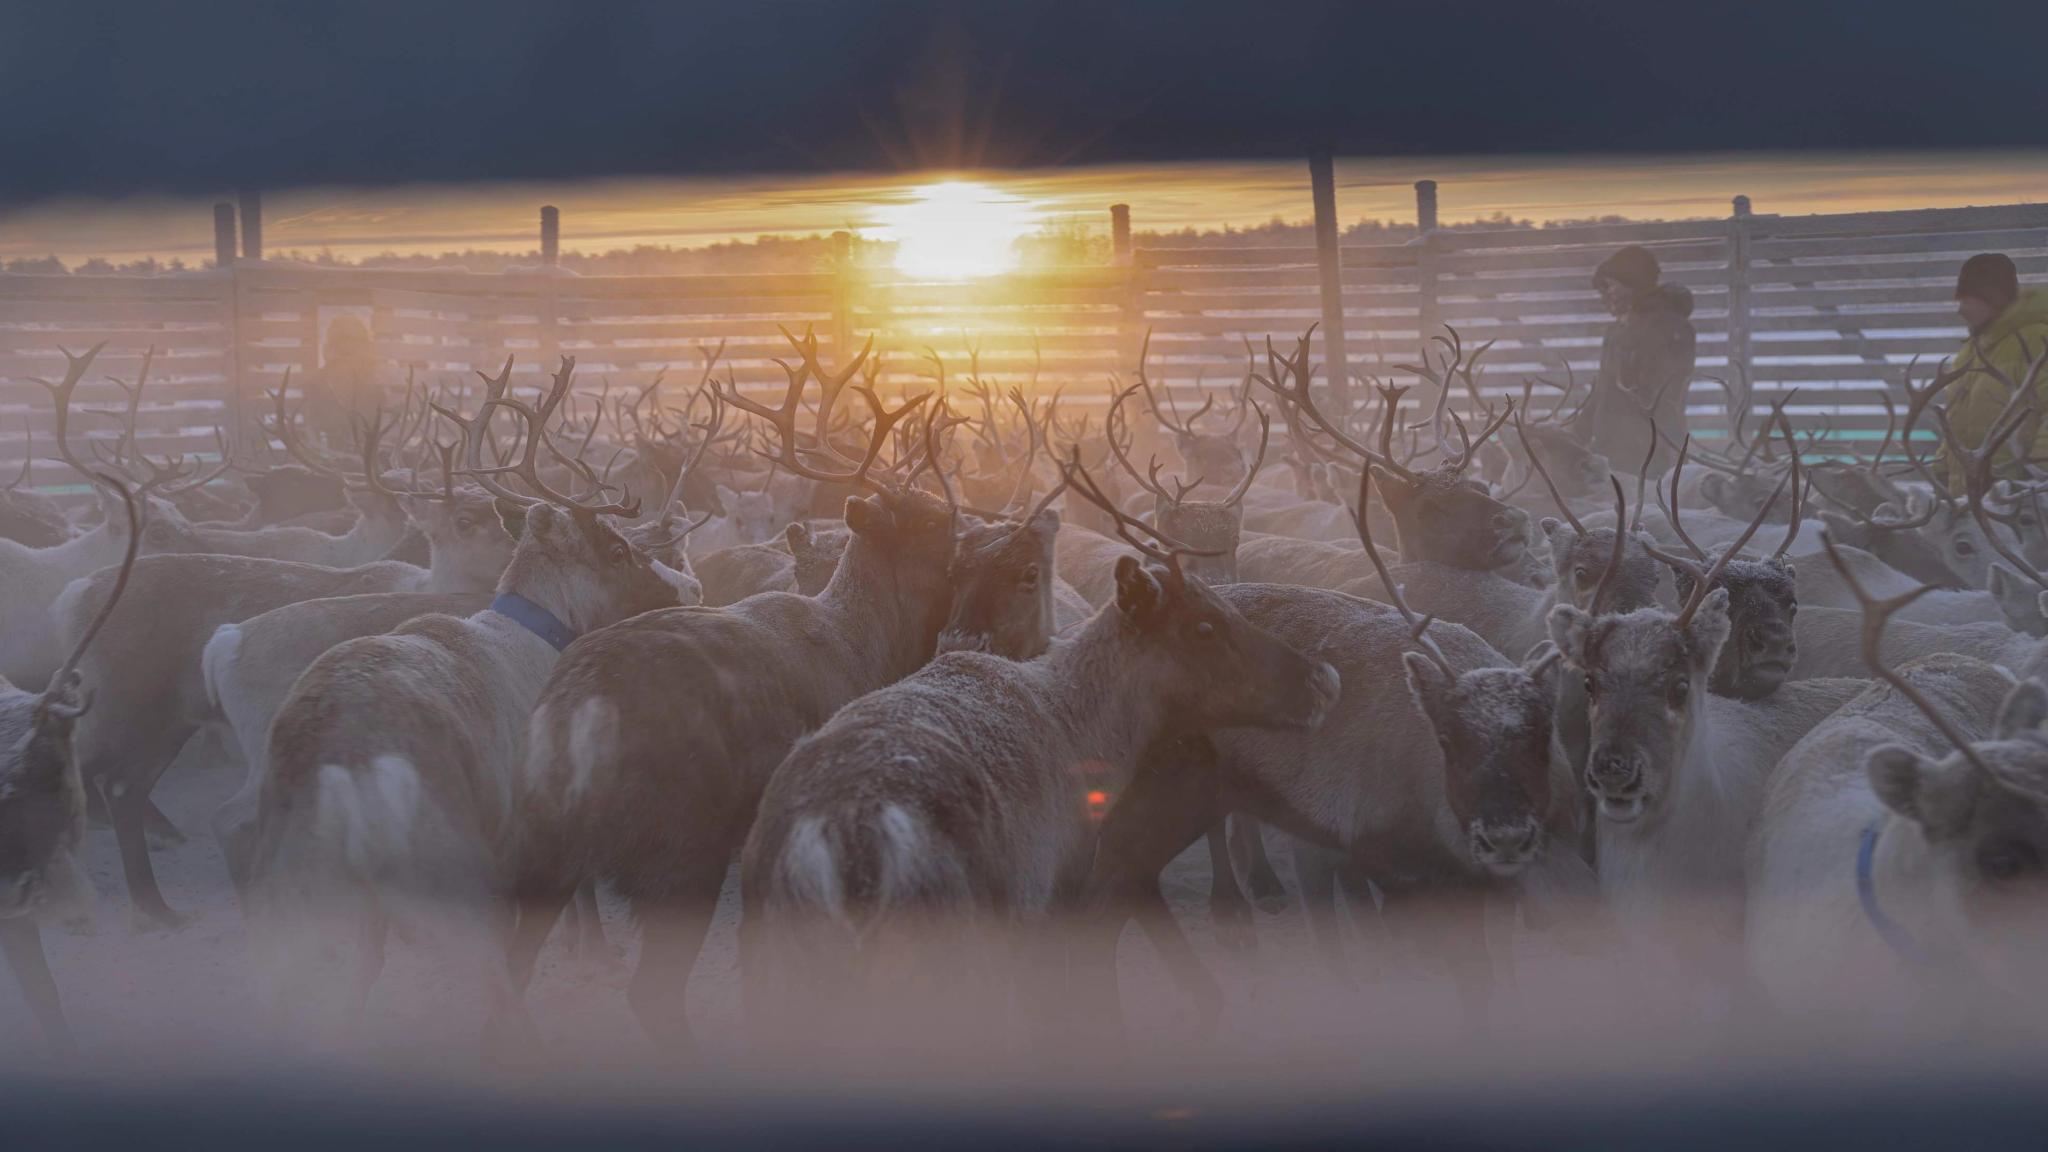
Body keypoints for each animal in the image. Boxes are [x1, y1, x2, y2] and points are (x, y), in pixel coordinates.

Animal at [239, 356, 683, 1031]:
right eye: (616, 549)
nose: (680, 588)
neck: (537, 635)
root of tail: (334, 769)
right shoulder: (533, 838)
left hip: (292, 897)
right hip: (449, 877)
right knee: (496, 991)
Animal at [502, 329, 961, 1051]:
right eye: (932, 521)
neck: (871, 648)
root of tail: (573, 719)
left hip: (538, 847)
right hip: (679, 845)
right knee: (652, 990)